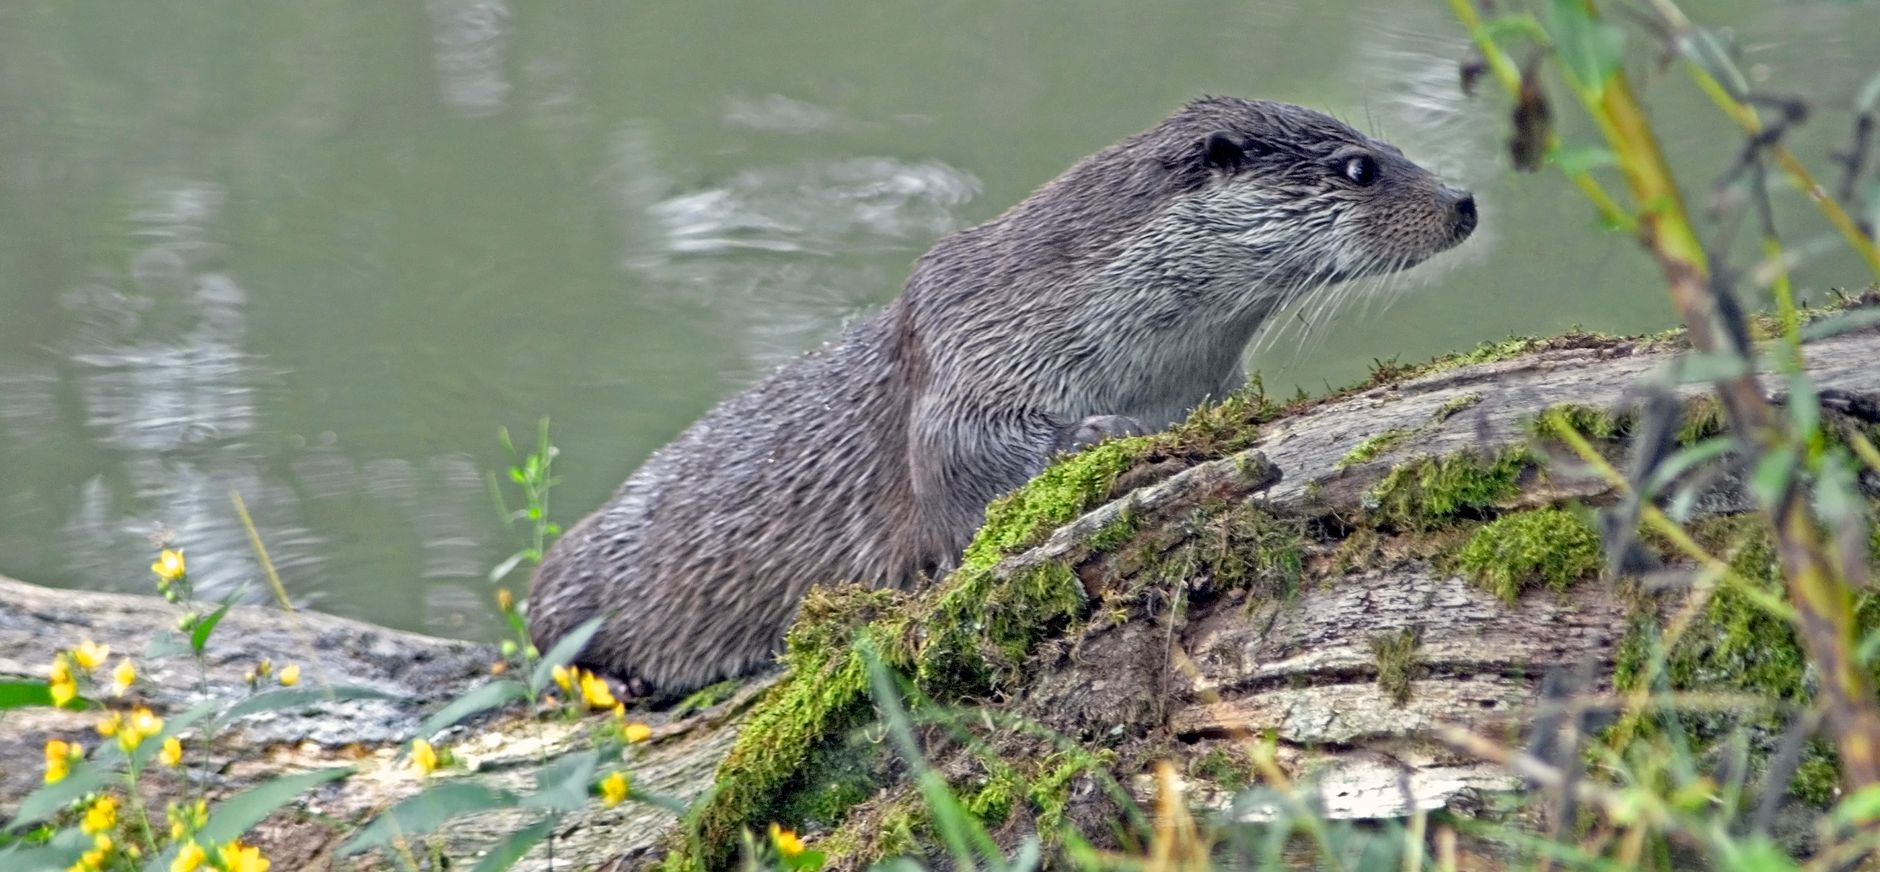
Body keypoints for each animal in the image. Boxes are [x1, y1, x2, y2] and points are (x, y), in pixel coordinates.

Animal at [528, 96, 1476, 696]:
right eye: (1360, 168)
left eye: (1393, 151)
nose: (1464, 199)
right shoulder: (963, 358)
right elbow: (962, 471)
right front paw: (1102, 436)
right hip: (584, 565)